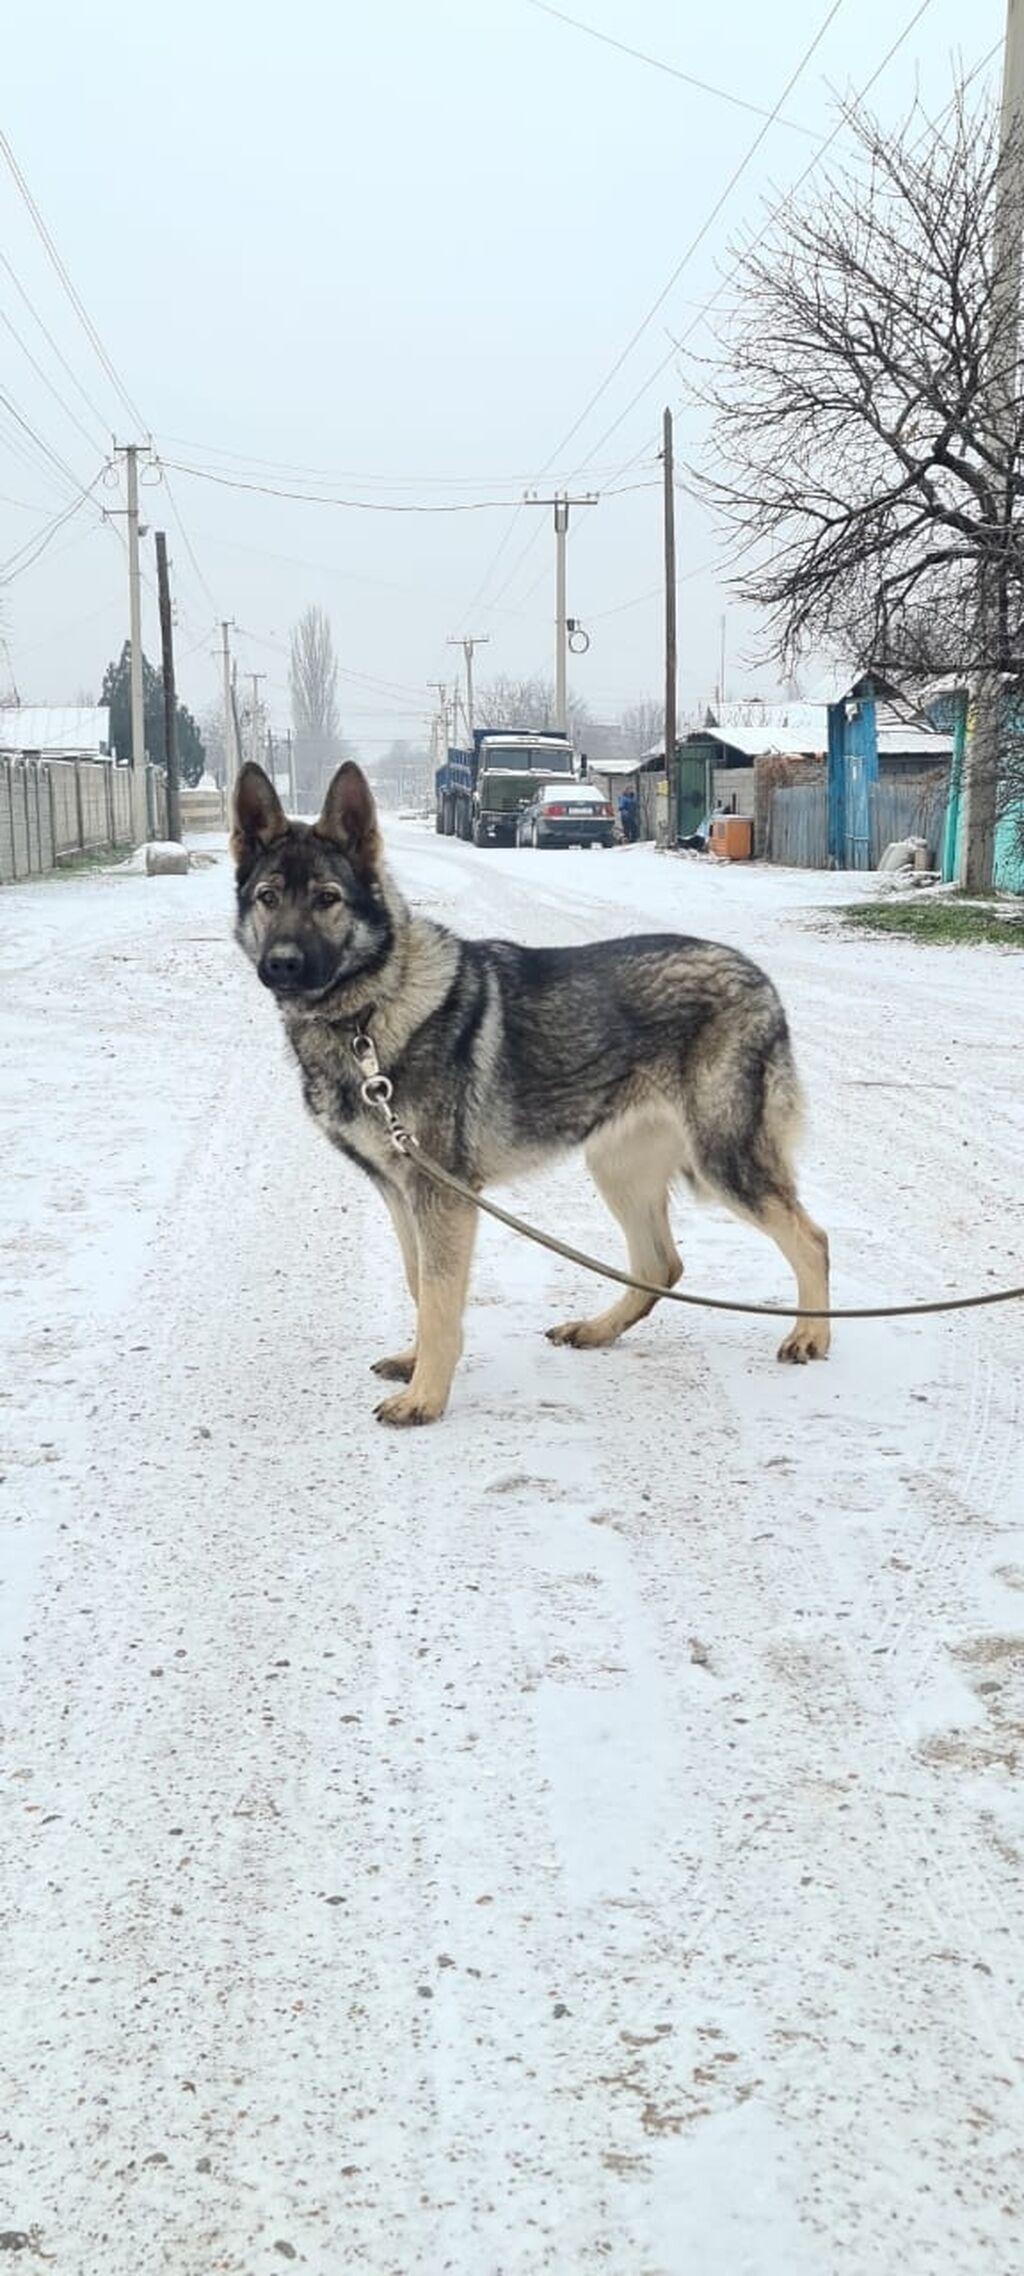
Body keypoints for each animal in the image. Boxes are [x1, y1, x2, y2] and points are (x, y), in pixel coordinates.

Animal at [232, 764, 832, 1420]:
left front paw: (426, 1396)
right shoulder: (400, 1193)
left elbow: (438, 1297)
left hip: (723, 1160)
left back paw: (811, 1334)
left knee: (811, 1238)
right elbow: (418, 1283)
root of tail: (757, 976)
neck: (366, 1013)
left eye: (327, 899)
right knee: (661, 1264)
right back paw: (597, 1329)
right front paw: (417, 1365)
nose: (283, 965)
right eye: (268, 898)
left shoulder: (442, 1196)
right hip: (617, 1167)